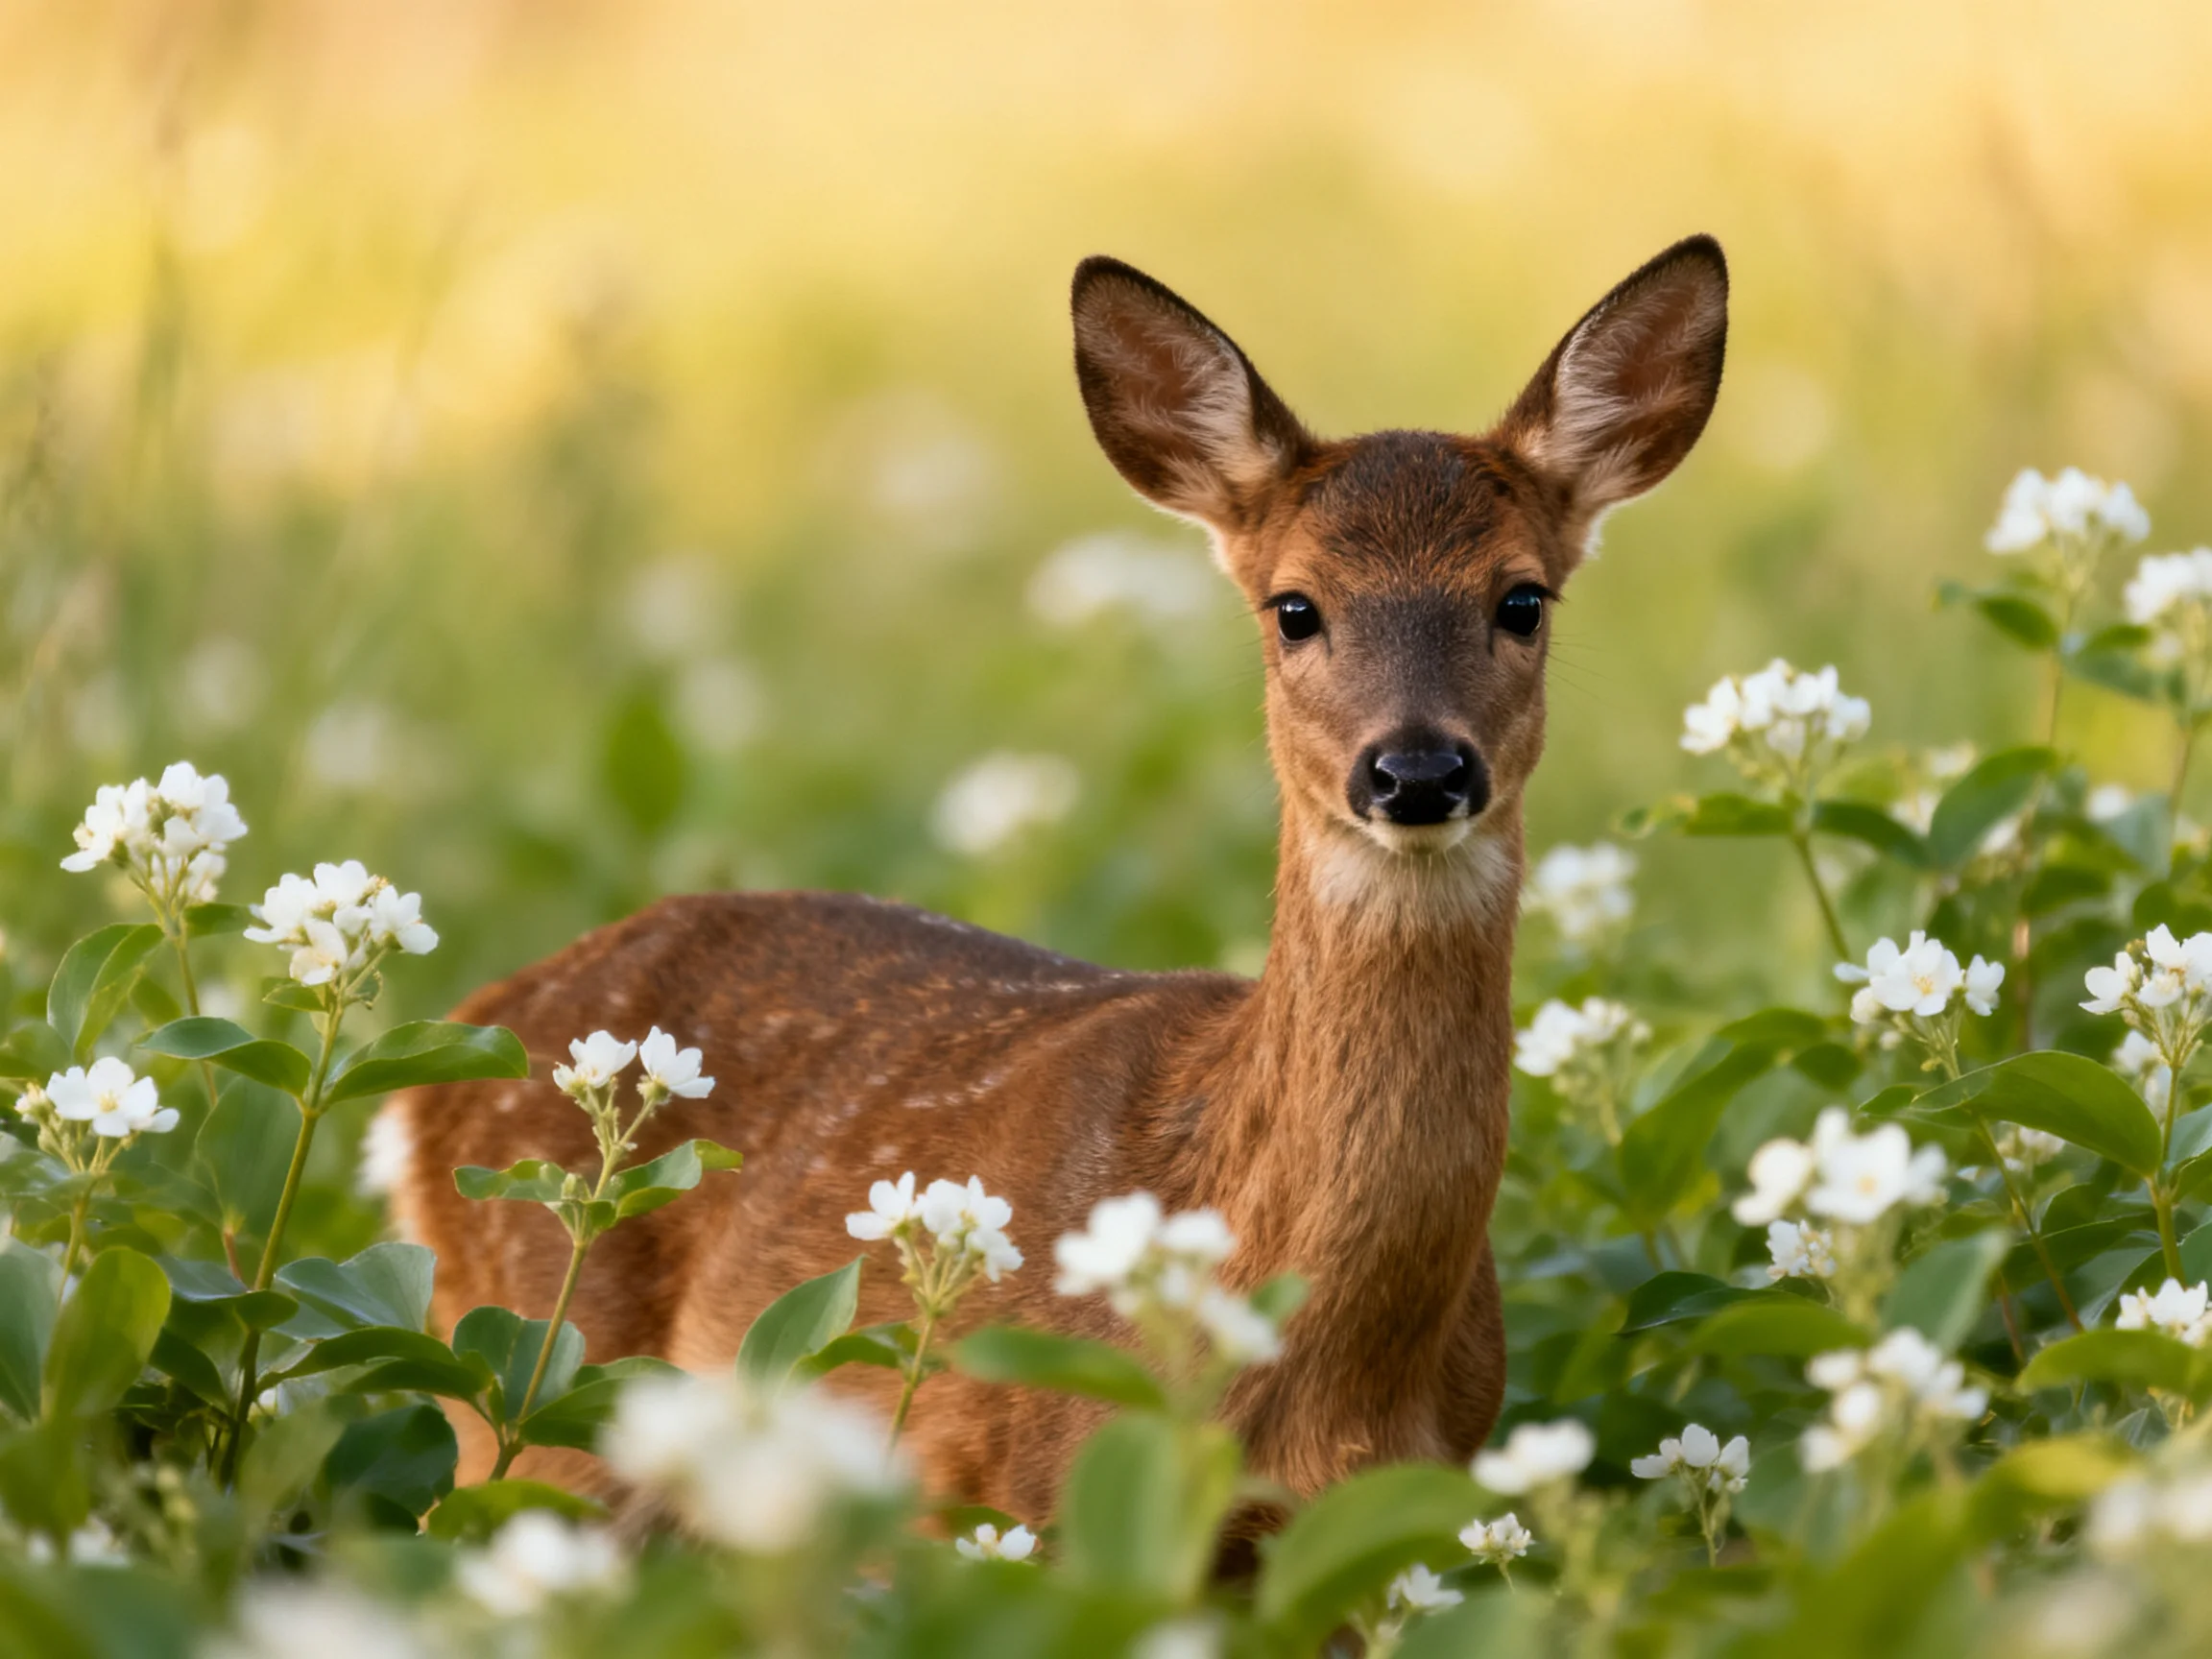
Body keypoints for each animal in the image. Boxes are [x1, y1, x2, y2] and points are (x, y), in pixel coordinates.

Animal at [381, 234, 1729, 1523]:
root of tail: (468, 1030)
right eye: (1295, 606)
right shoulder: (1012, 1495)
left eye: (1523, 598)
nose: (1416, 771)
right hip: (528, 1383)